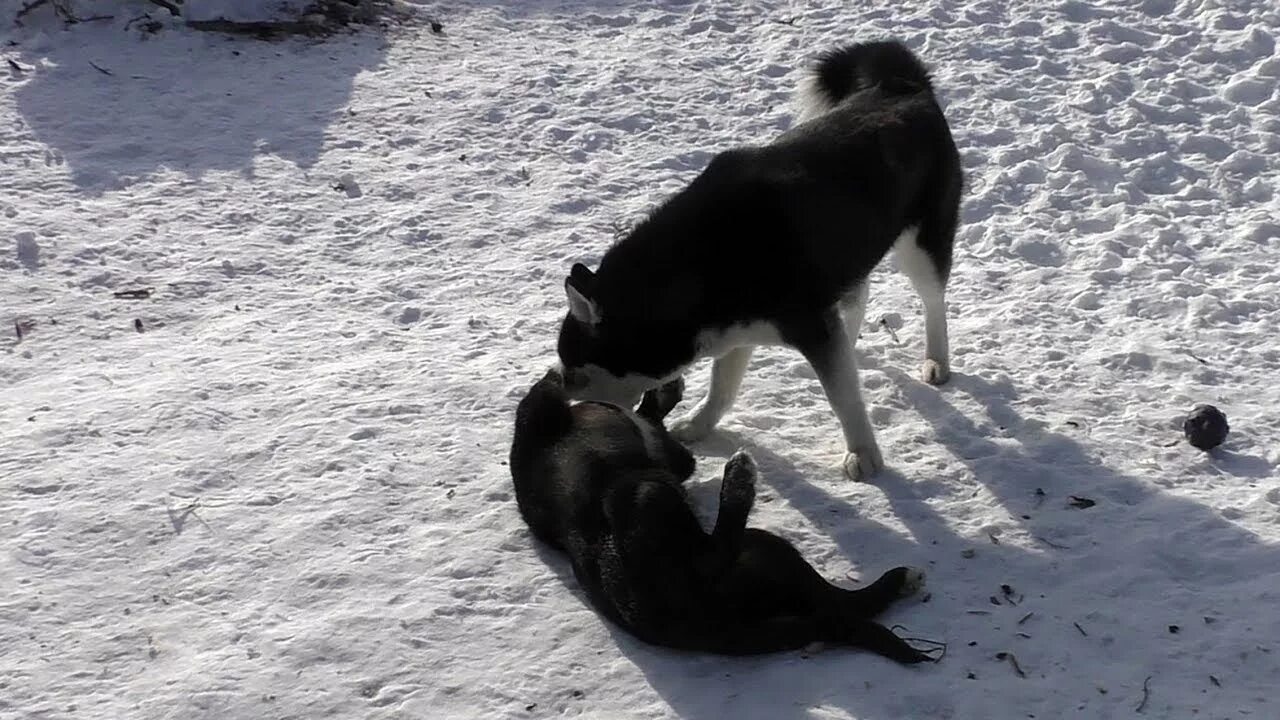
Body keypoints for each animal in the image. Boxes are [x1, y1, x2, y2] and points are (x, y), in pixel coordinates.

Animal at [555, 37, 962, 476]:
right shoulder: (736, 332)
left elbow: (844, 399)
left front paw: (863, 453)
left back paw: (936, 359)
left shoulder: (810, 326)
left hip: (921, 244)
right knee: (858, 298)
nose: (561, 404)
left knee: (933, 301)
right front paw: (700, 424)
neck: (700, 260)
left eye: (576, 375)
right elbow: (722, 387)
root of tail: (903, 85)